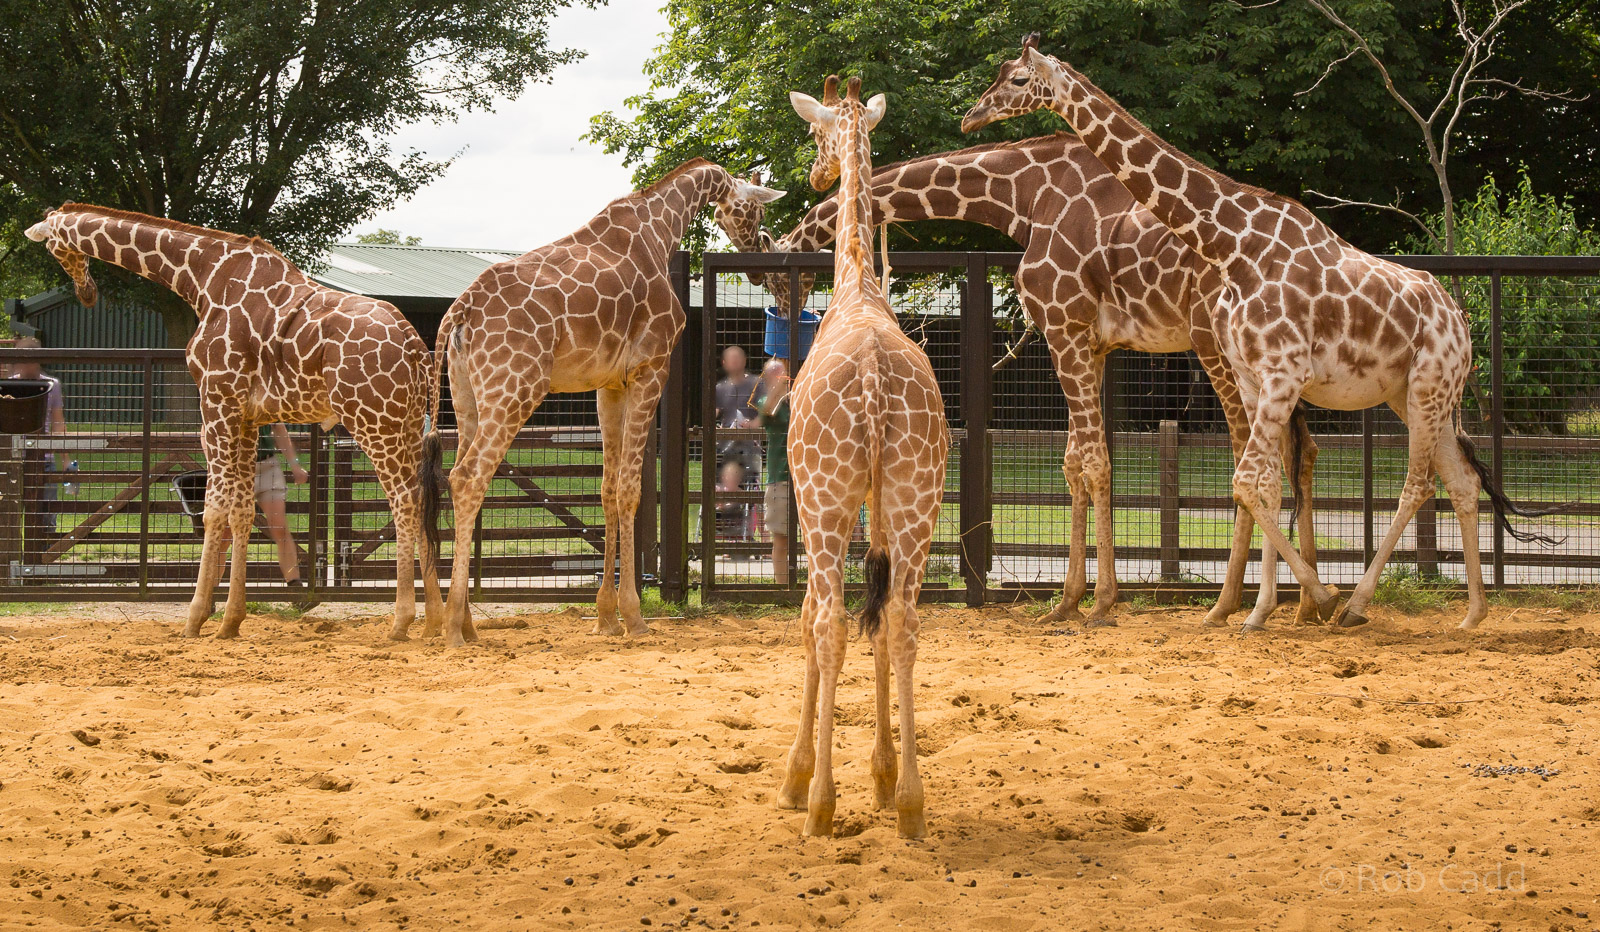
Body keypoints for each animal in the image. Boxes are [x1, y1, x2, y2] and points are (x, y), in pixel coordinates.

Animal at [25, 205, 444, 639]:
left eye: (54, 247)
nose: (86, 292)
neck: (202, 277)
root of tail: (416, 345)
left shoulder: (216, 403)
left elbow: (214, 510)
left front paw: (195, 618)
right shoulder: (248, 417)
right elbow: (241, 511)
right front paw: (230, 621)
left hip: (373, 421)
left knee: (404, 502)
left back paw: (400, 622)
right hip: (407, 424)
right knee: (423, 500)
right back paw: (436, 621)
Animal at [435, 160, 784, 647]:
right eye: (754, 208)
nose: (760, 250)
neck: (661, 229)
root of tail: (461, 309)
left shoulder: (608, 384)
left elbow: (607, 490)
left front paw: (606, 616)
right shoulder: (650, 369)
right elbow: (632, 490)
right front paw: (634, 617)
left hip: (466, 398)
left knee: (457, 477)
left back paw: (467, 622)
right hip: (514, 389)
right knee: (468, 478)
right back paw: (451, 628)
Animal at [729, 134, 1323, 629]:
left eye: (779, 274)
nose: (781, 326)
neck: (1025, 199)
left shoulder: (1065, 329)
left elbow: (1094, 462)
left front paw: (1100, 602)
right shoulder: (1090, 342)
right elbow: (1075, 461)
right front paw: (1068, 600)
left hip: (1213, 343)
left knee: (1250, 452)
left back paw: (1234, 604)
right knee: (1300, 451)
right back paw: (1304, 606)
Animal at [964, 35, 1559, 631]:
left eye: (1018, 79)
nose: (973, 116)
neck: (1234, 244)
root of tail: (1460, 321)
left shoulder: (1283, 374)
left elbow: (1247, 481)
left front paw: (1315, 598)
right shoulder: (1256, 378)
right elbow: (1265, 484)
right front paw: (1261, 612)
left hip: (1429, 386)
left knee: (1417, 484)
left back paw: (1356, 604)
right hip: (1410, 395)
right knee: (1461, 479)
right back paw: (1472, 615)